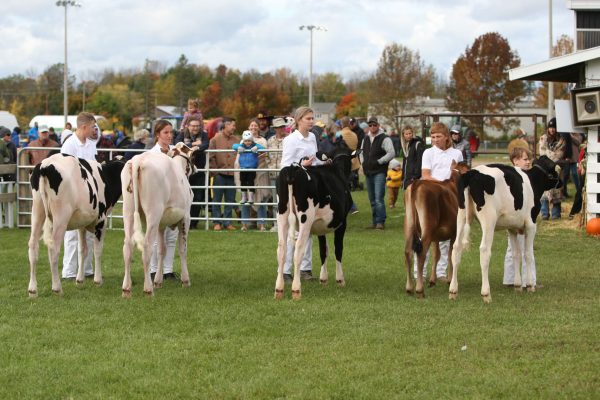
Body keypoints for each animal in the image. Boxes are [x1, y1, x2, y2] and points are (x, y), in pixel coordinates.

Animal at [27, 153, 125, 296]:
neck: (106, 176)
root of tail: (45, 164)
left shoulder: (81, 225)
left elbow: (82, 250)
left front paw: (79, 280)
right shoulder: (101, 222)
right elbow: (97, 250)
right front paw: (98, 280)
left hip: (37, 211)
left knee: (33, 246)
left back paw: (32, 289)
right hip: (61, 217)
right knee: (53, 248)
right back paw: (57, 288)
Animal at [120, 141, 196, 296]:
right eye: (192, 157)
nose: (196, 169)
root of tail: (139, 159)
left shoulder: (161, 224)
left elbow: (162, 250)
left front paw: (158, 281)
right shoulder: (186, 218)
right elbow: (182, 249)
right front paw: (185, 281)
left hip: (128, 211)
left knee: (128, 246)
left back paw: (126, 288)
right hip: (153, 213)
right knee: (147, 246)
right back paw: (148, 289)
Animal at [276, 141, 356, 300]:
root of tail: (293, 168)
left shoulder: (320, 226)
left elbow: (323, 250)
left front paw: (323, 279)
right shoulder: (342, 222)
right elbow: (338, 249)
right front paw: (340, 279)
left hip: (282, 215)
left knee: (281, 249)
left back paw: (279, 289)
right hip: (305, 218)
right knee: (298, 249)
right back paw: (296, 289)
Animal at [404, 162, 468, 296]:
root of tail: (417, 183)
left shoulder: (436, 237)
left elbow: (436, 255)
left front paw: (433, 280)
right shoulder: (454, 233)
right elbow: (450, 255)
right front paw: (450, 280)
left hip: (409, 223)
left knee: (408, 252)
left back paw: (409, 287)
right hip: (428, 226)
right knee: (421, 252)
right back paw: (419, 290)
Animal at [450, 156, 564, 304]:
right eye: (556, 169)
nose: (561, 183)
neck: (532, 182)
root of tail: (472, 172)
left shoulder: (512, 228)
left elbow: (516, 254)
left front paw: (517, 285)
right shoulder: (531, 225)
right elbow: (528, 254)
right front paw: (530, 285)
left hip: (461, 215)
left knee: (456, 248)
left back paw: (453, 290)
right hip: (489, 219)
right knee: (484, 250)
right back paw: (486, 293)